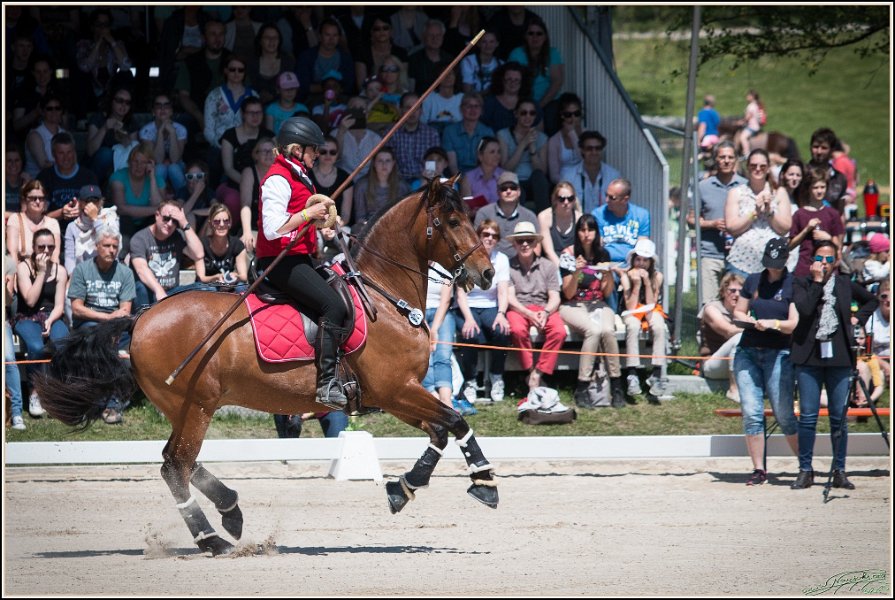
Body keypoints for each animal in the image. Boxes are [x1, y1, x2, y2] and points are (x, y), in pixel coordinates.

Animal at [35, 175, 497, 557]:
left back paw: (230, 511)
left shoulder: (397, 395)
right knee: (175, 466)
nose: (488, 273)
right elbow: (455, 421)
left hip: (181, 407)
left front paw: (404, 488)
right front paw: (484, 484)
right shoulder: (396, 389)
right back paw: (214, 540)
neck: (384, 295)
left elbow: (441, 430)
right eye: (453, 220)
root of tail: (141, 317)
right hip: (197, 405)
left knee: (178, 460)